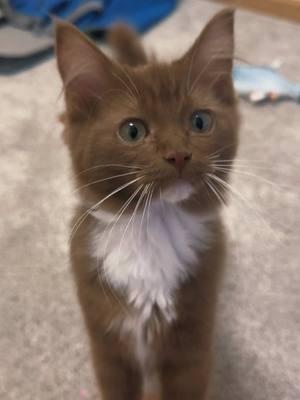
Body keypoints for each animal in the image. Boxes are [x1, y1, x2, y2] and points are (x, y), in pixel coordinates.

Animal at [55, 8, 239, 400]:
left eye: (200, 122)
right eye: (132, 131)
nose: (179, 155)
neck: (155, 227)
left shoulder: (192, 349)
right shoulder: (108, 348)